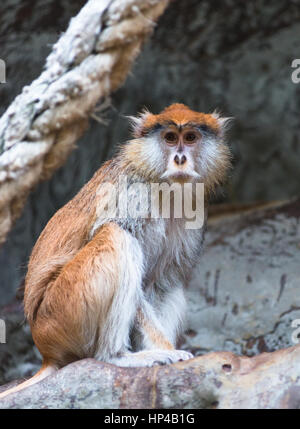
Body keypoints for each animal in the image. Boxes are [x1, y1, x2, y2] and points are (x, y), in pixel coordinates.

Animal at [0, 103, 231, 398]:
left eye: (190, 138)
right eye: (169, 138)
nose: (180, 158)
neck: (157, 180)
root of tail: (45, 350)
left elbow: (162, 281)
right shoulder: (132, 196)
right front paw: (167, 351)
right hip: (62, 312)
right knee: (117, 238)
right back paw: (116, 356)